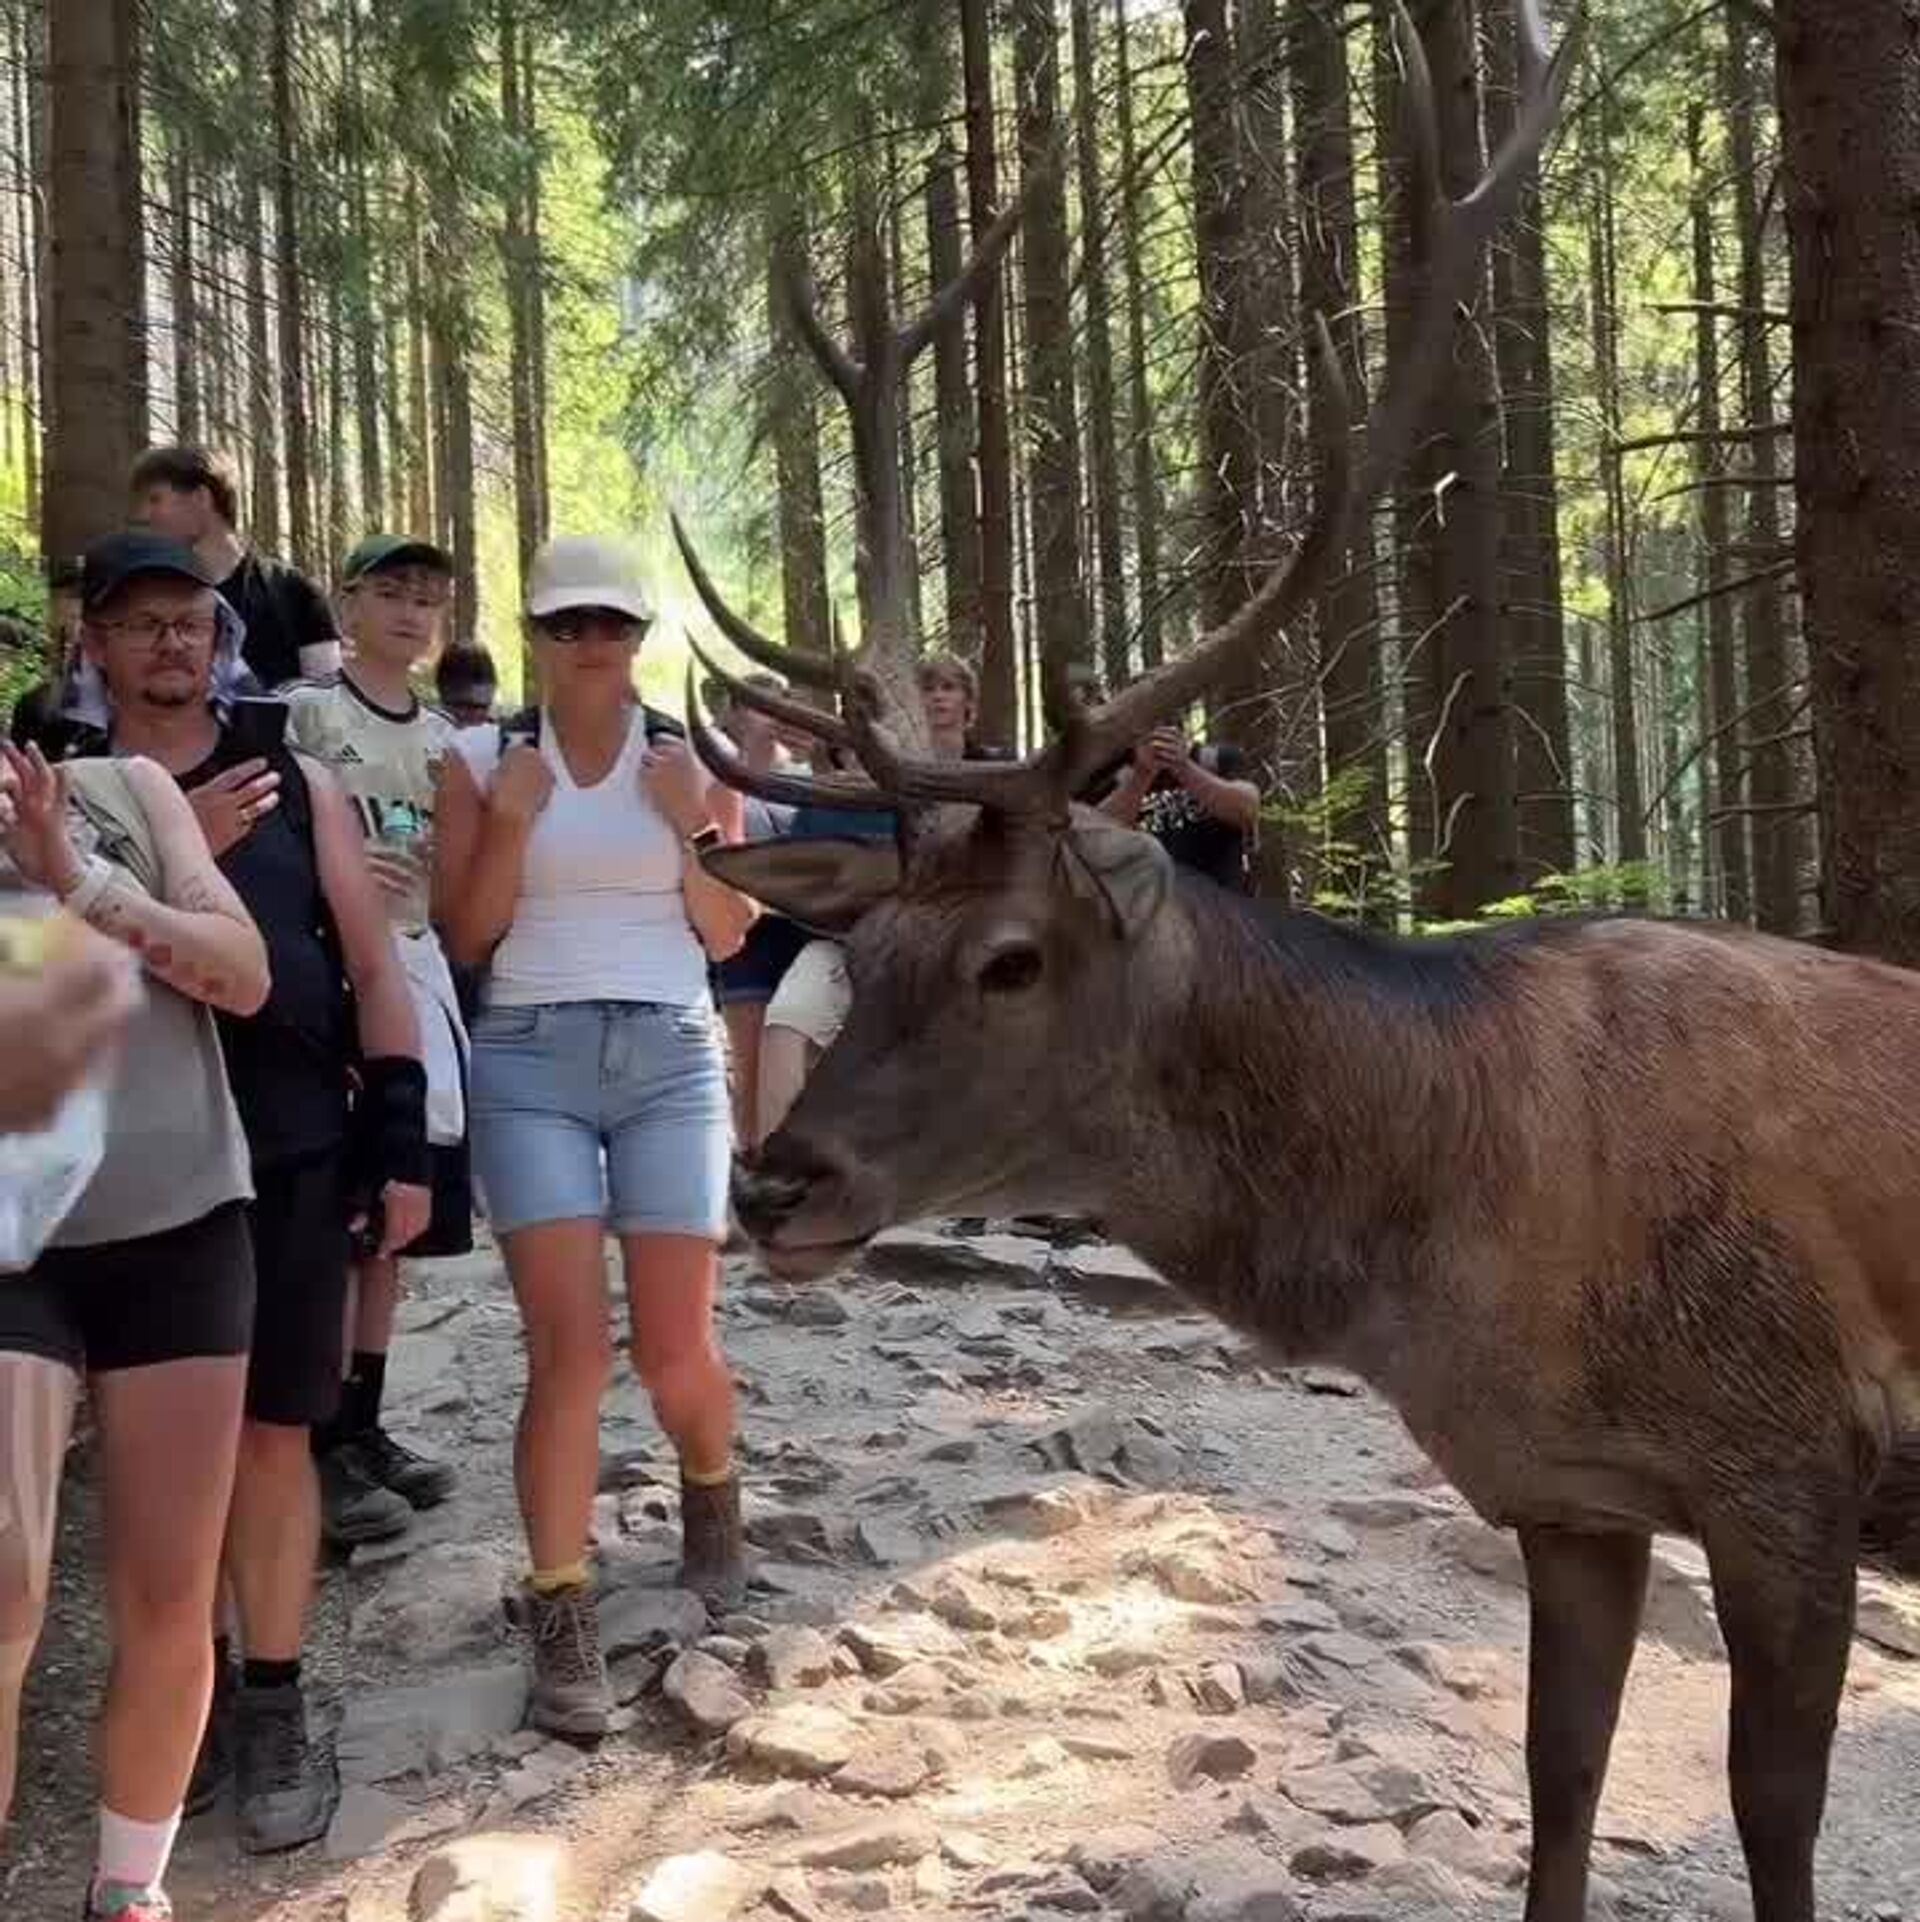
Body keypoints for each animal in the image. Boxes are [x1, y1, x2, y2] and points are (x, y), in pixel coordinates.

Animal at [667, 6, 1920, 1919]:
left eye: (1014, 959)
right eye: (866, 943)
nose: (772, 1182)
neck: (1478, 1234)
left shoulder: (1794, 1458)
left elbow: (1772, 1819)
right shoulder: (1572, 1495)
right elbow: (1557, 1782)